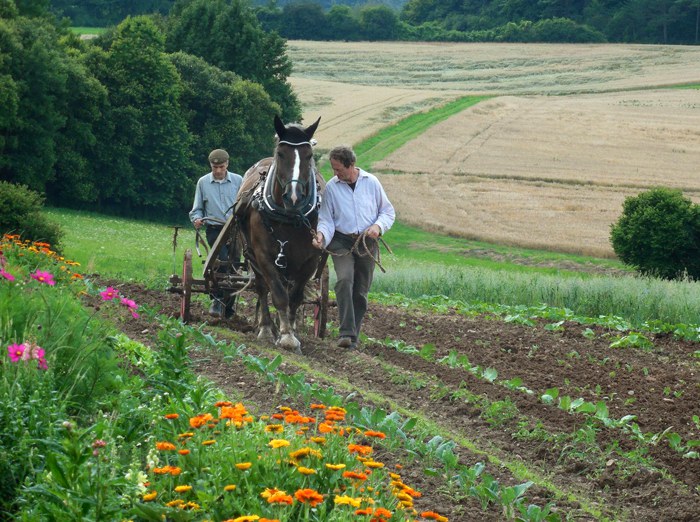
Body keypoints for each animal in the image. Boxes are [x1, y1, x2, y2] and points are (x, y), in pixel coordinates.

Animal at [234, 113, 324, 350]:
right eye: (281, 153)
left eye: (309, 155)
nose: (294, 197)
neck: (289, 217)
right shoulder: (264, 256)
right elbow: (278, 294)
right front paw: (284, 336)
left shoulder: (310, 260)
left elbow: (295, 297)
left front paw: (292, 332)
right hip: (252, 255)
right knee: (262, 288)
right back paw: (266, 328)